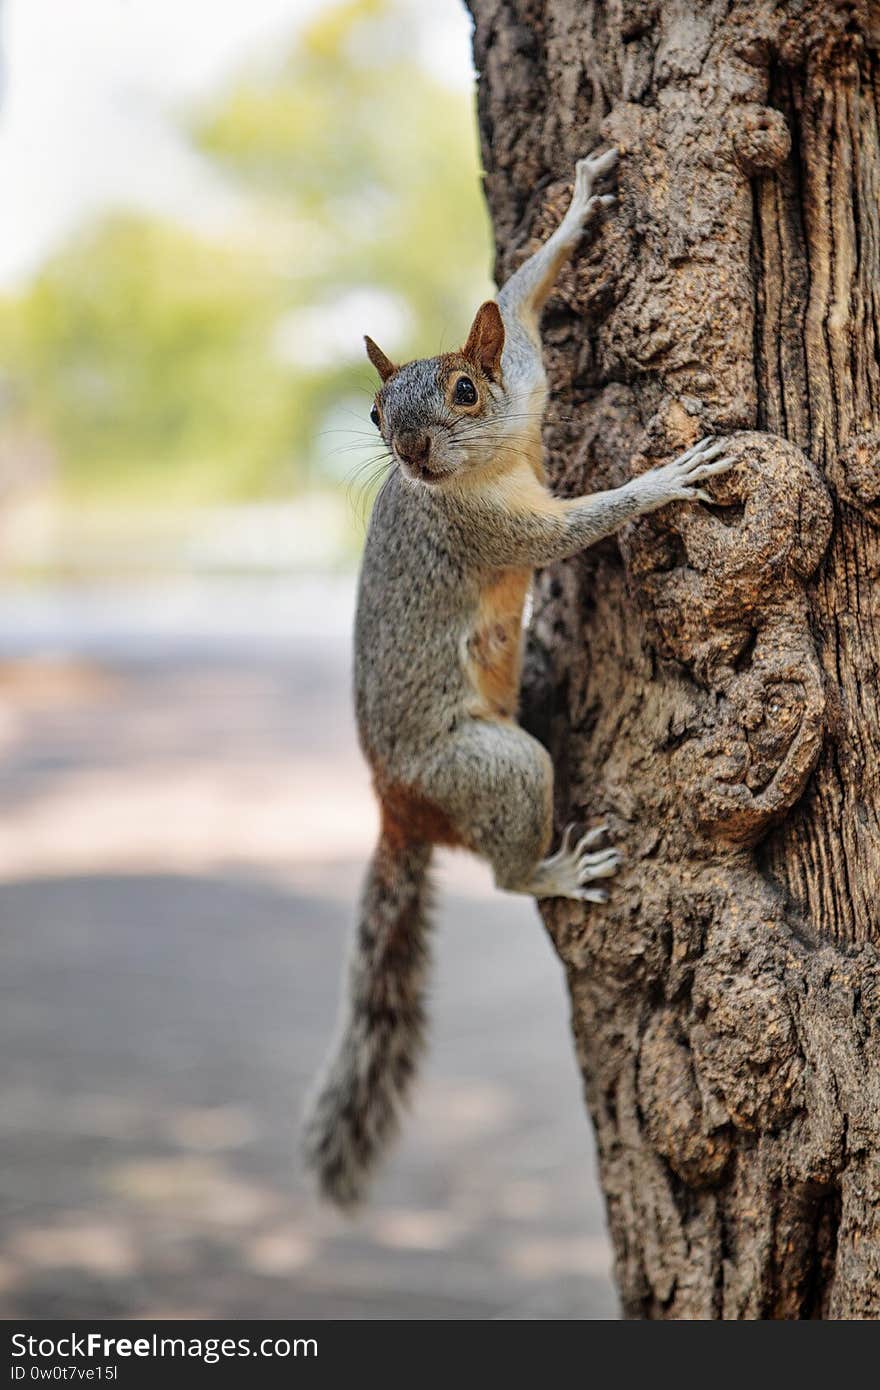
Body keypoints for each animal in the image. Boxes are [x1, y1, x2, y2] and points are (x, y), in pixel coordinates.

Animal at [302, 146, 735, 1208]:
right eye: (375, 412)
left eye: (466, 390)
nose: (411, 450)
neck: (487, 461)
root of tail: (397, 804)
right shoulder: (496, 534)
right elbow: (584, 524)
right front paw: (665, 481)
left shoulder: (529, 379)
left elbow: (519, 296)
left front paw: (577, 208)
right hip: (493, 770)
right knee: (504, 874)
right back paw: (555, 868)